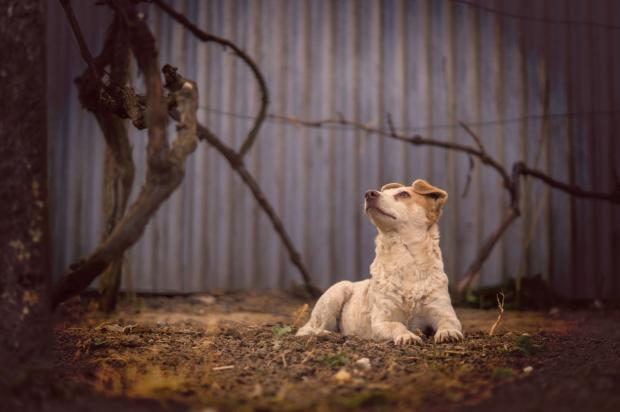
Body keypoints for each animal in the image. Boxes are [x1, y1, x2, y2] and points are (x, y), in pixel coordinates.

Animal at [298, 180, 462, 344]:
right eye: (383, 192)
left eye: (404, 194)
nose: (369, 193)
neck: (406, 263)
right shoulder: (381, 321)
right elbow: (397, 325)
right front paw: (407, 335)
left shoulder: (443, 311)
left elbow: (449, 322)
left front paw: (448, 333)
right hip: (337, 291)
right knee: (313, 329)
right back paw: (329, 334)